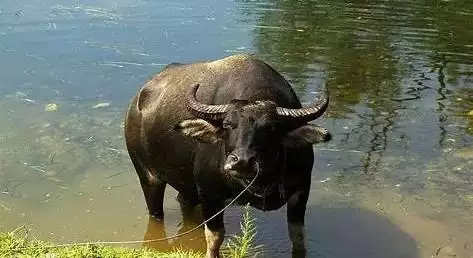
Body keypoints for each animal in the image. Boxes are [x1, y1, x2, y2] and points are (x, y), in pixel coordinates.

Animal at [125, 53, 332, 256]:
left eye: (271, 128)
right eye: (226, 125)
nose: (242, 162)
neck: (261, 182)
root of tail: (137, 104)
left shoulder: (302, 189)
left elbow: (298, 237)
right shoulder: (209, 193)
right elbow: (215, 237)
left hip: (187, 185)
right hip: (148, 176)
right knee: (156, 211)